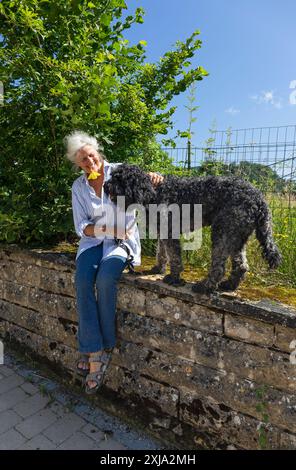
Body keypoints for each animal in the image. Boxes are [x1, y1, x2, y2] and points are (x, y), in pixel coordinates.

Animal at [104, 163, 282, 292]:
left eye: (119, 179)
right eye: (112, 176)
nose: (105, 186)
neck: (153, 192)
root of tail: (259, 199)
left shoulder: (170, 232)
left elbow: (174, 257)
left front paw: (173, 278)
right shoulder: (163, 231)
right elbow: (161, 253)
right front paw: (157, 269)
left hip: (222, 233)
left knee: (219, 267)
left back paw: (205, 286)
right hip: (237, 237)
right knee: (241, 266)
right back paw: (229, 286)